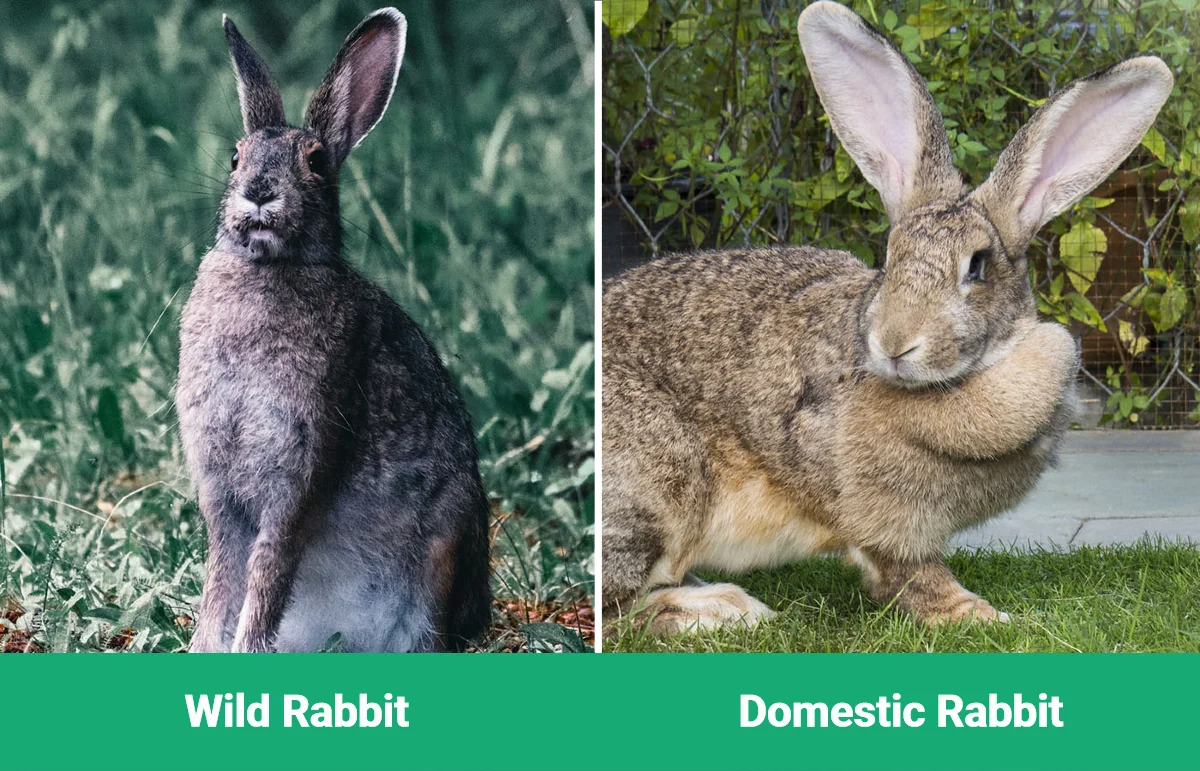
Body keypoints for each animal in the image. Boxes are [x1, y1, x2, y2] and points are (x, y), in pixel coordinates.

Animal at [176, 8, 491, 652]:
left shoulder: (300, 471)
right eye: (235, 157)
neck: (271, 268)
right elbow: (224, 576)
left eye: (317, 162)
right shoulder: (222, 489)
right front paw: (205, 647)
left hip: (441, 553)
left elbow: (267, 570)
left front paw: (244, 646)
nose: (259, 191)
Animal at [602, 1, 1173, 635]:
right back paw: (724, 609)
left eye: (977, 266)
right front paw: (980, 616)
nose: (895, 343)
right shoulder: (883, 517)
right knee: (618, 606)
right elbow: (909, 574)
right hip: (660, 487)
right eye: (890, 256)